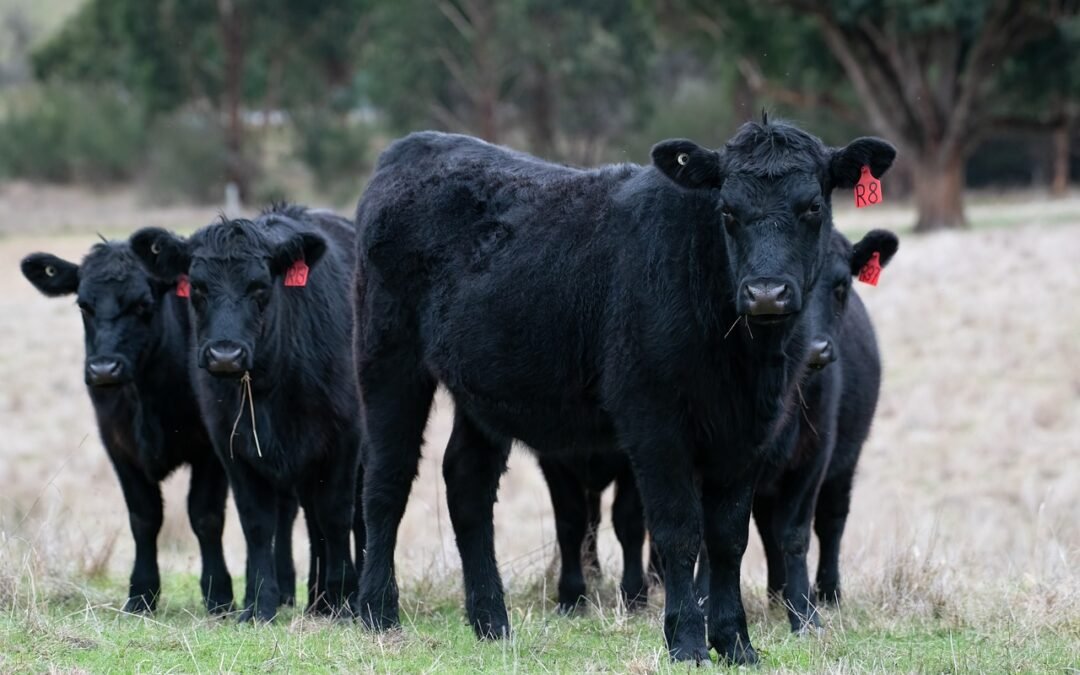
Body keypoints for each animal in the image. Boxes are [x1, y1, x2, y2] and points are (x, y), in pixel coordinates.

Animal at [19, 240, 295, 609]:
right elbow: (144, 517)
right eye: (84, 305)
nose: (104, 369)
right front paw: (141, 592)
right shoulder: (119, 446)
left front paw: (219, 594)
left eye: (143, 304)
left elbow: (206, 516)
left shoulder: (212, 449)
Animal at [130, 205, 362, 622]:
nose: (225, 355)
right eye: (198, 288)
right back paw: (317, 599)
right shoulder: (231, 446)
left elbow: (337, 514)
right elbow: (257, 522)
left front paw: (345, 600)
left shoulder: (344, 437)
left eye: (260, 287)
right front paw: (258, 604)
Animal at [354, 122, 894, 665]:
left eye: (812, 207)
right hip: (388, 362)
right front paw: (687, 641)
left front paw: (735, 643)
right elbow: (679, 532)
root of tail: (416, 145)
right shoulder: (654, 423)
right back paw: (379, 612)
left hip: (481, 394)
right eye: (727, 211)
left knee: (468, 482)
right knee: (386, 482)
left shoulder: (745, 435)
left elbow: (728, 538)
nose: (766, 293)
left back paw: (492, 622)